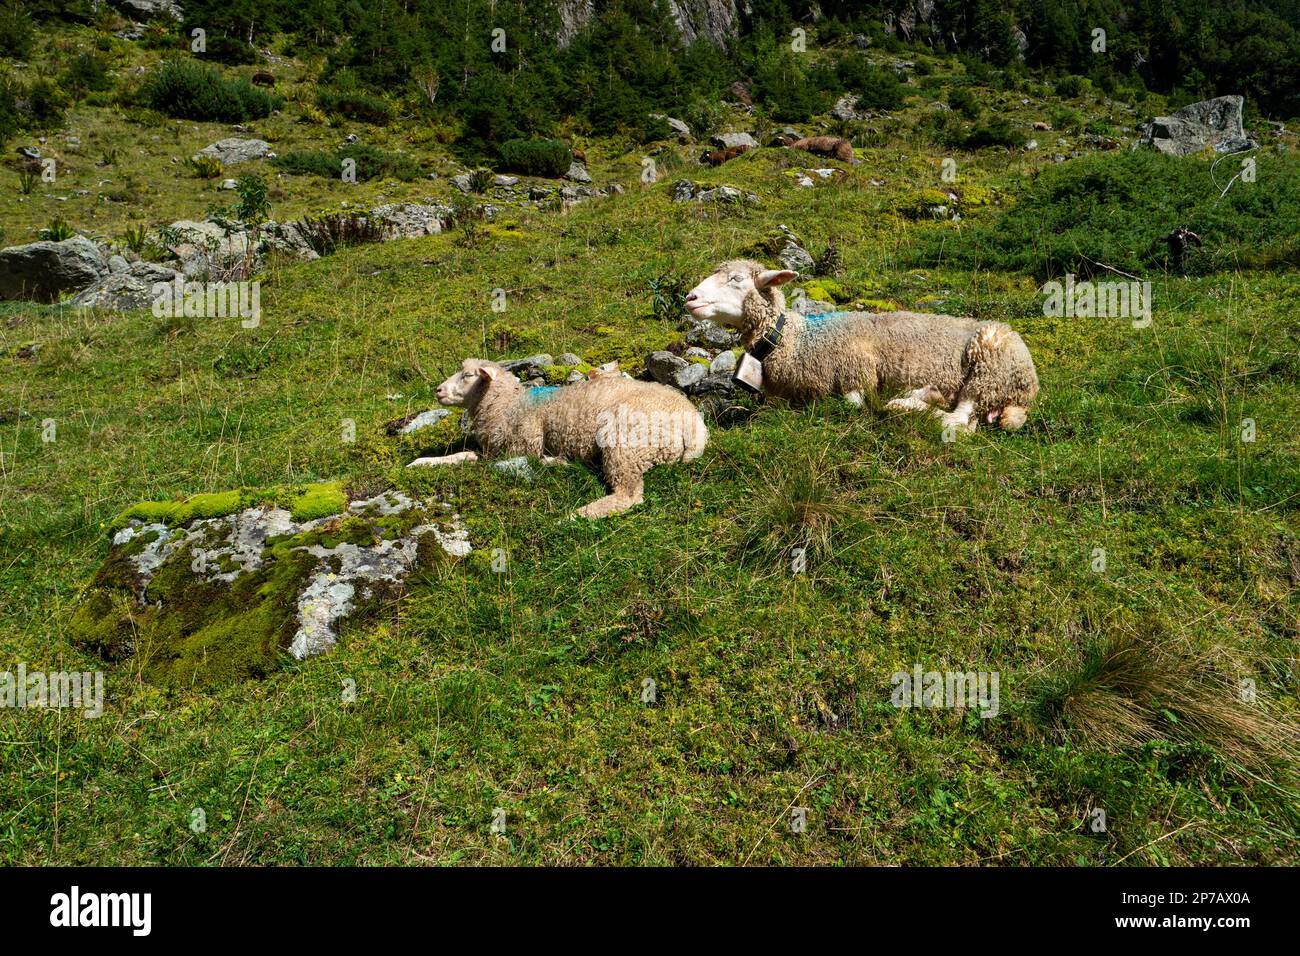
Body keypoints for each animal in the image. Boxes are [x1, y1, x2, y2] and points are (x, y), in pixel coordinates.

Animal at [417, 359, 708, 518]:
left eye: (468, 375)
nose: (438, 390)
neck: (509, 405)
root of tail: (694, 425)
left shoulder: (521, 446)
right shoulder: (494, 450)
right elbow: (462, 454)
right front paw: (423, 462)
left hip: (625, 441)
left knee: (627, 495)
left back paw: (577, 515)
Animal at [684, 260, 1039, 433]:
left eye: (737, 280)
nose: (690, 297)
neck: (799, 342)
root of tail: (1029, 386)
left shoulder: (857, 373)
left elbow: (852, 404)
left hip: (989, 368)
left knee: (961, 420)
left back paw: (914, 402)